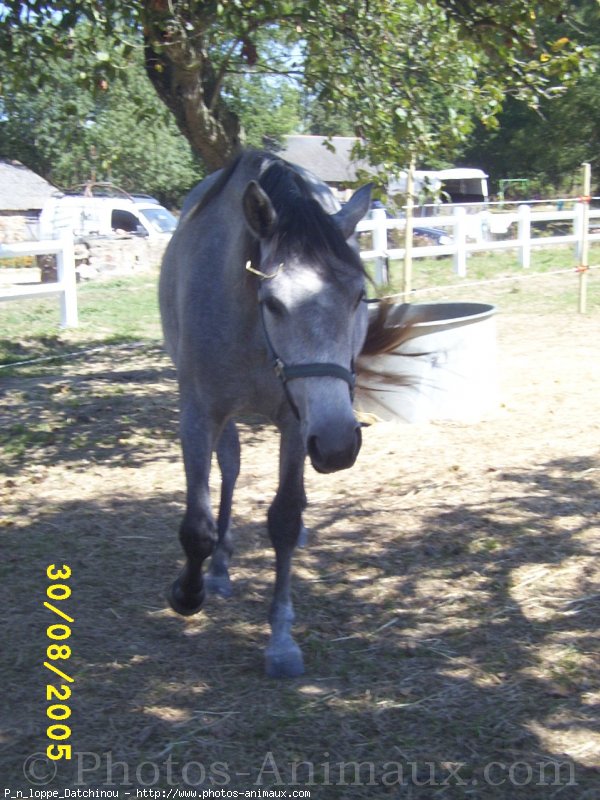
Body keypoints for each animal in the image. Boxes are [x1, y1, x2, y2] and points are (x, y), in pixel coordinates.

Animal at [159, 148, 404, 676]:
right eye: (272, 302)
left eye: (359, 297)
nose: (338, 446)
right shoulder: (198, 414)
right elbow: (197, 525)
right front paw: (188, 592)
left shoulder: (298, 423)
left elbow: (286, 519)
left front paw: (281, 638)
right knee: (229, 469)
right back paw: (219, 569)